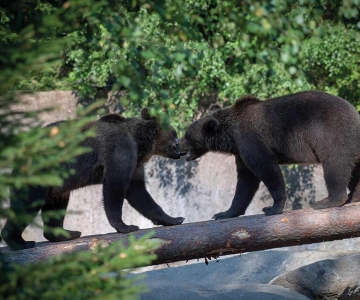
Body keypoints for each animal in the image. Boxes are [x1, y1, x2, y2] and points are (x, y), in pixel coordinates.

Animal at [1, 108, 184, 248]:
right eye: (174, 132)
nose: (180, 144)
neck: (140, 143)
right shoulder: (121, 151)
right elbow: (115, 186)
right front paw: (126, 226)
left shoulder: (135, 163)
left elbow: (138, 191)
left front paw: (174, 218)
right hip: (40, 171)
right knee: (27, 203)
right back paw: (19, 241)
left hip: (56, 182)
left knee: (56, 204)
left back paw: (66, 234)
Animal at [179, 90, 360, 219]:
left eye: (187, 135)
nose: (177, 144)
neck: (231, 137)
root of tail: (355, 114)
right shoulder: (241, 152)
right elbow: (246, 181)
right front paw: (224, 213)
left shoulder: (251, 140)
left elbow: (266, 168)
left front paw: (272, 208)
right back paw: (353, 197)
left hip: (331, 135)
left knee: (335, 165)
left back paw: (327, 201)